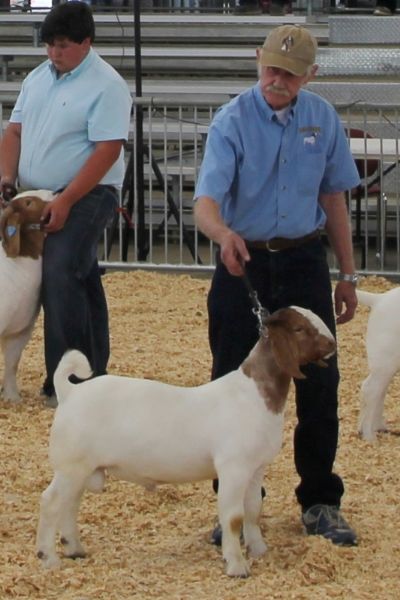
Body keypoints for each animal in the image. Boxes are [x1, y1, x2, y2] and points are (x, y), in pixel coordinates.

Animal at [36, 308, 334, 580]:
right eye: (299, 329)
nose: (332, 343)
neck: (252, 394)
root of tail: (71, 392)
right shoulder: (233, 468)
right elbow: (233, 518)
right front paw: (237, 566)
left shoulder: (256, 468)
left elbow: (253, 510)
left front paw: (259, 549)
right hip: (70, 465)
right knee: (51, 502)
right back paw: (48, 557)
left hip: (82, 468)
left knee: (70, 503)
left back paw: (74, 549)